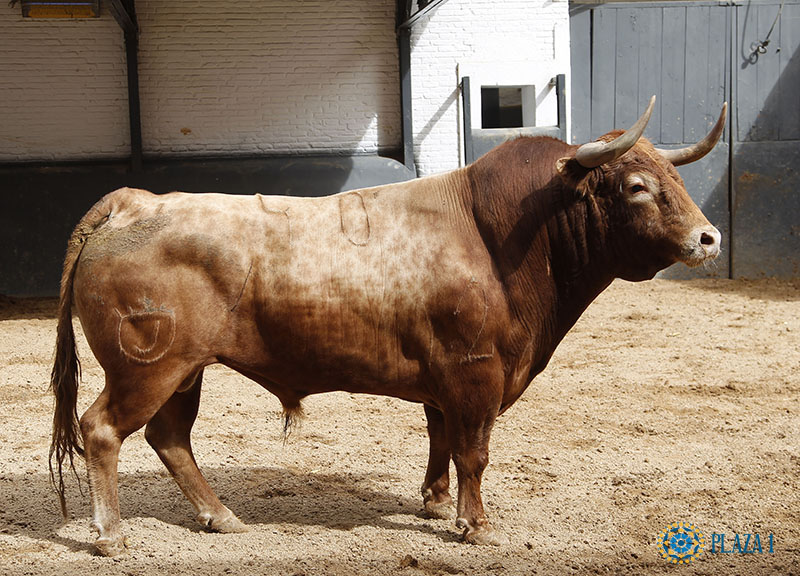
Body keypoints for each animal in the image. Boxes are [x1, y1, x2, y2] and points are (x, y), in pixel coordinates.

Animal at [50, 97, 726, 556]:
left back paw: (223, 517)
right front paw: (476, 524)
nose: (708, 238)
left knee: (169, 438)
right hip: (148, 368)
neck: (499, 236)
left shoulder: (446, 379)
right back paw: (112, 535)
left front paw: (435, 503)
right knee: (103, 430)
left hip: (185, 371)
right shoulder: (476, 372)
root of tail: (133, 200)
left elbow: (440, 437)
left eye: (676, 177)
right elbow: (473, 450)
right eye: (636, 186)